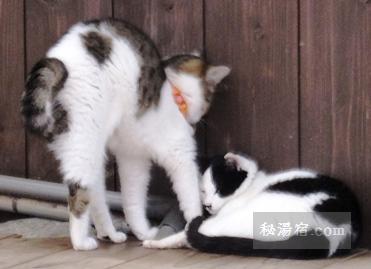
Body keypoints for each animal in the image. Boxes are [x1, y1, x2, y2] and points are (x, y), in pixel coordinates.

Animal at [21, 18, 230, 249]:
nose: (196, 121)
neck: (174, 87)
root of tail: (60, 57)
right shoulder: (179, 152)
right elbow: (190, 192)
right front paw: (195, 225)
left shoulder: (132, 157)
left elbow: (133, 198)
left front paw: (142, 231)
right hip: (85, 137)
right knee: (78, 193)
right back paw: (81, 242)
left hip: (82, 144)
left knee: (95, 193)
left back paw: (109, 233)